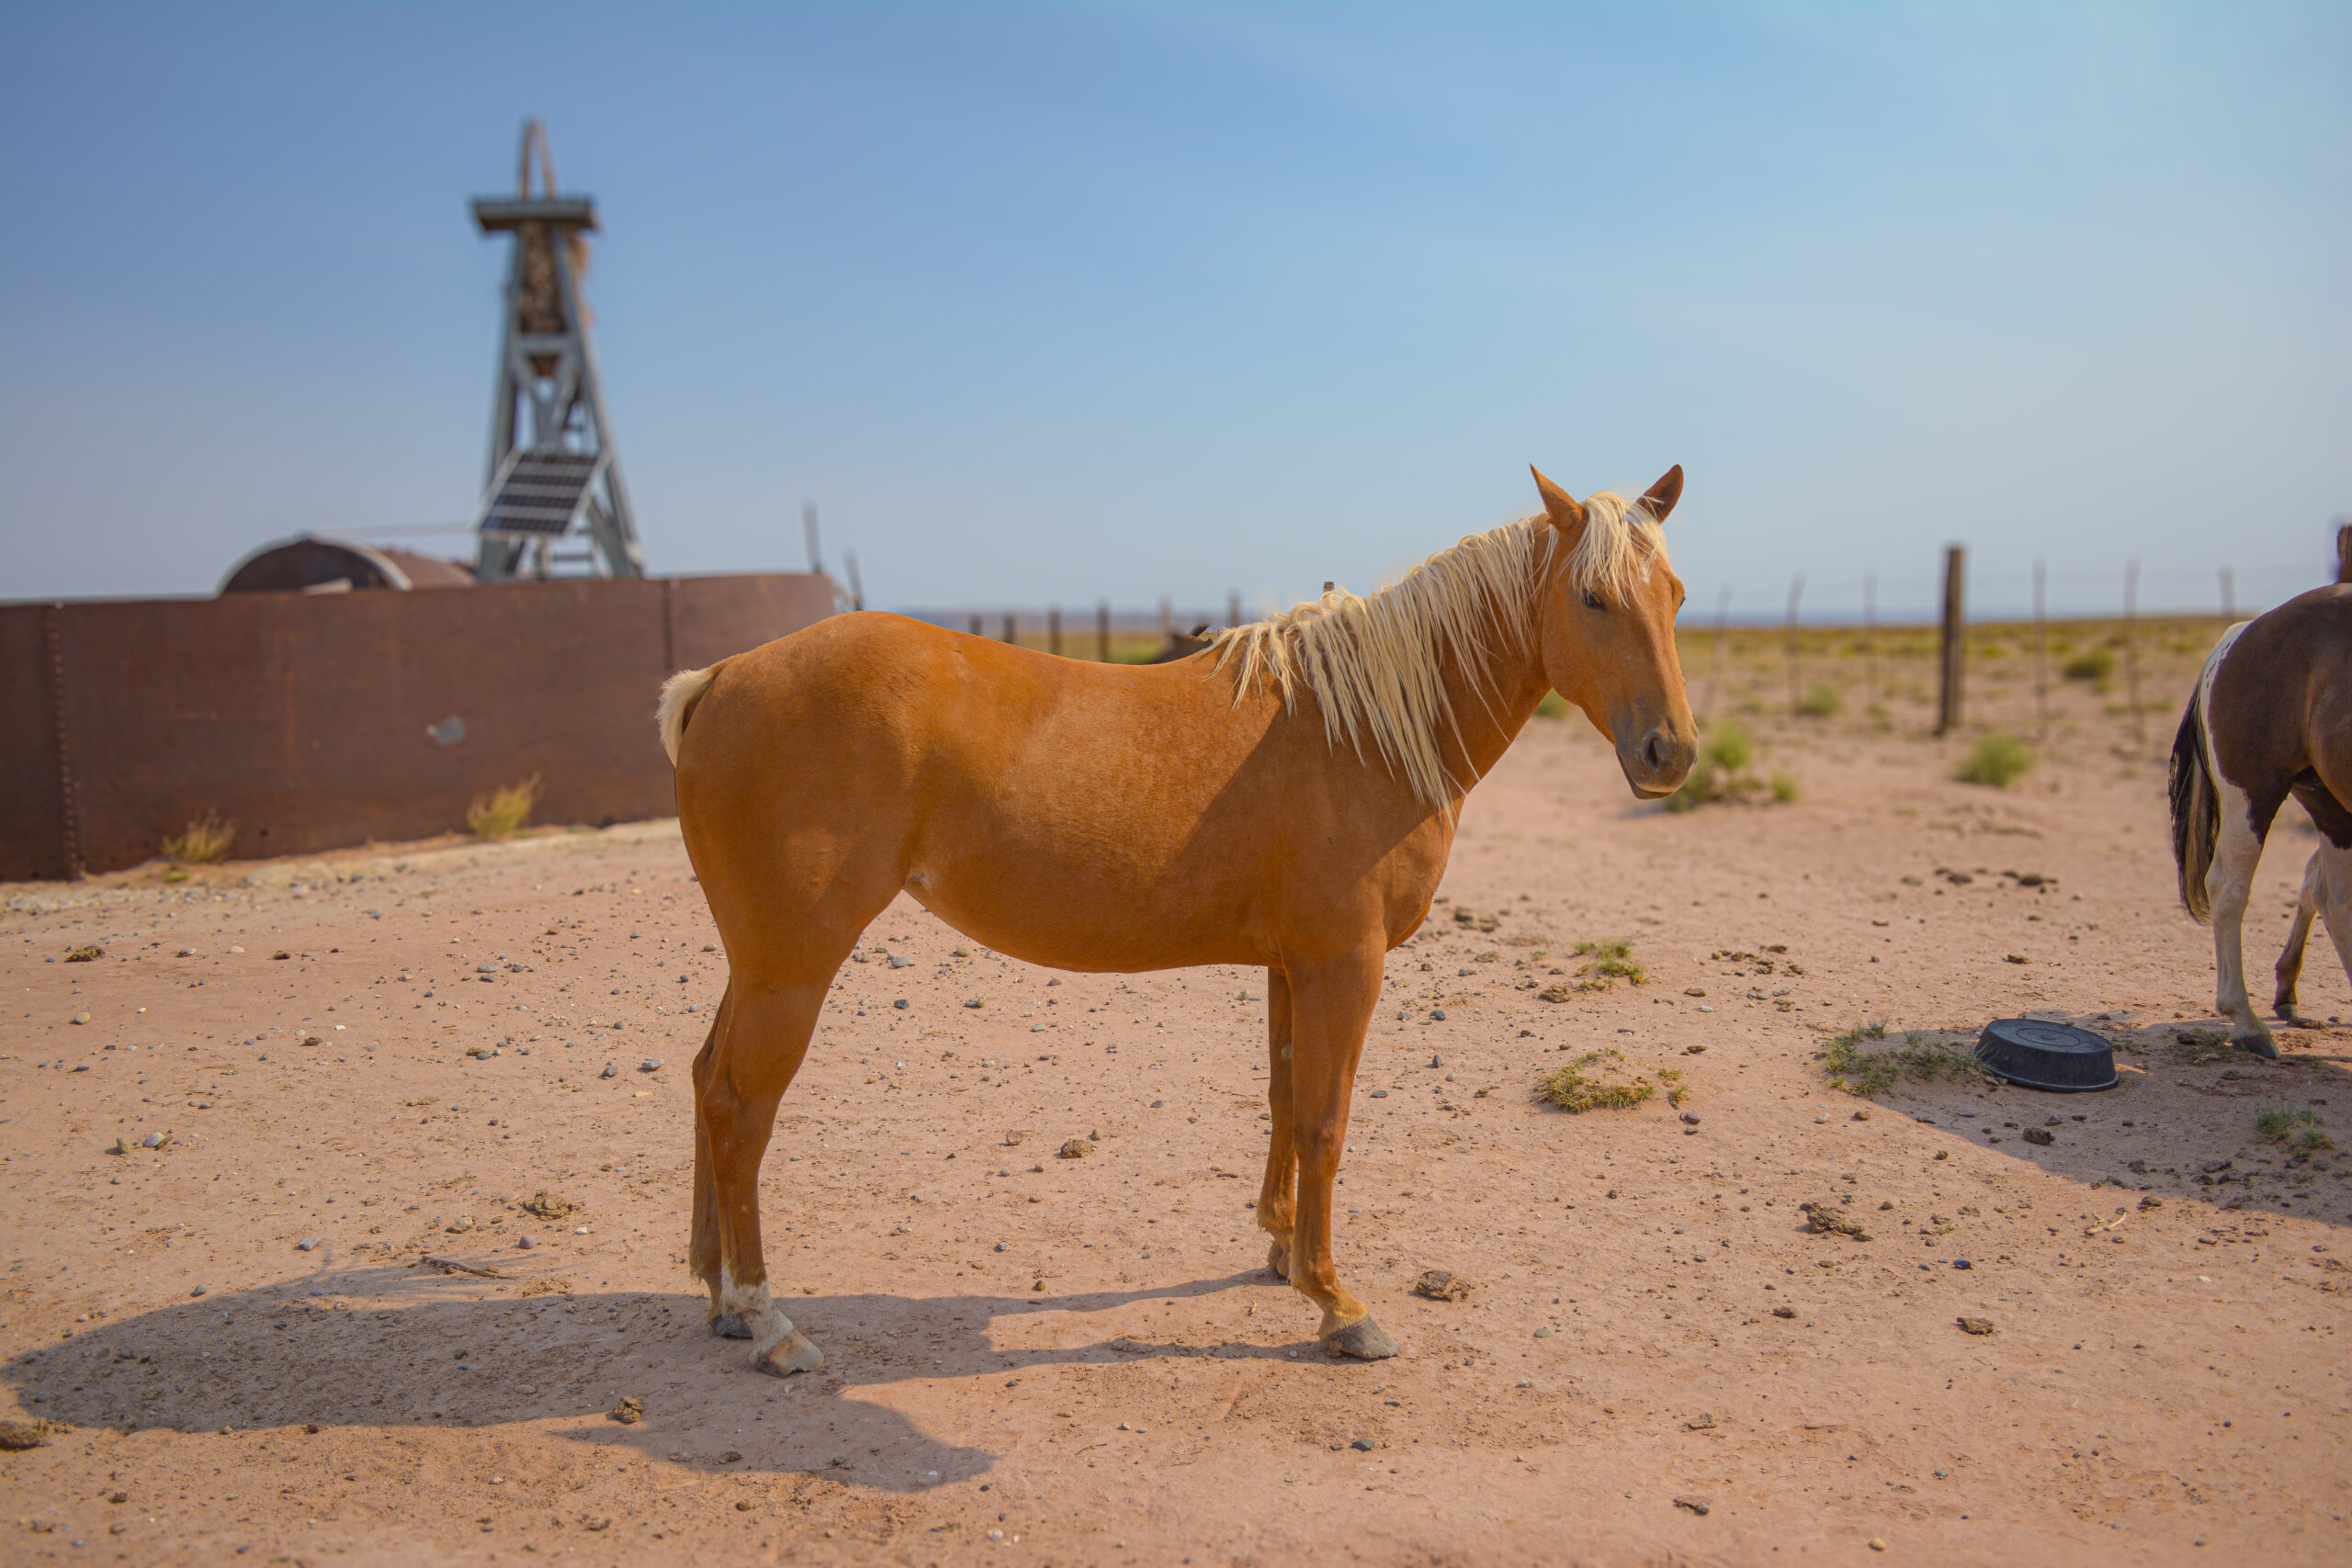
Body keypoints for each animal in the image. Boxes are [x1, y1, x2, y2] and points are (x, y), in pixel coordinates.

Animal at [659, 464, 1696, 1376]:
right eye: (1593, 598)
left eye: (1677, 595)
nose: (1671, 753)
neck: (1361, 730)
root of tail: (720, 678)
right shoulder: (1344, 962)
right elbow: (1325, 1120)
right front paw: (1338, 1306)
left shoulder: (1291, 964)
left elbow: (1283, 1100)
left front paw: (1282, 1251)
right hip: (793, 965)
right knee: (743, 1107)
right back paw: (767, 1321)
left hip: (759, 965)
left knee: (709, 1081)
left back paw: (717, 1297)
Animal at [2168, 584, 2352, 1056]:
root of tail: (2243, 632)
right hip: (2252, 791)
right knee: (2229, 889)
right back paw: (2248, 1024)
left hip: (2331, 805)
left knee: (2335, 898)